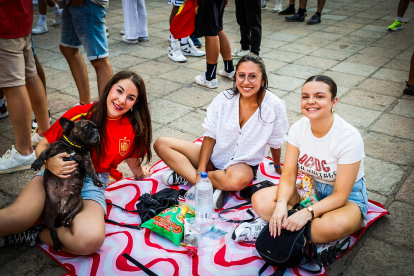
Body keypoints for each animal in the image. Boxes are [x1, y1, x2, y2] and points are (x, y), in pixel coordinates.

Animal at [31, 116, 101, 252]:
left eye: (96, 127)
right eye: (87, 127)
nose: (97, 131)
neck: (76, 147)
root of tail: (61, 211)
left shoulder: (86, 160)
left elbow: (92, 171)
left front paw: (97, 181)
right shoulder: (51, 149)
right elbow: (43, 153)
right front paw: (37, 163)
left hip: (79, 202)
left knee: (71, 215)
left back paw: (67, 221)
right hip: (48, 214)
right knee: (52, 230)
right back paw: (57, 243)